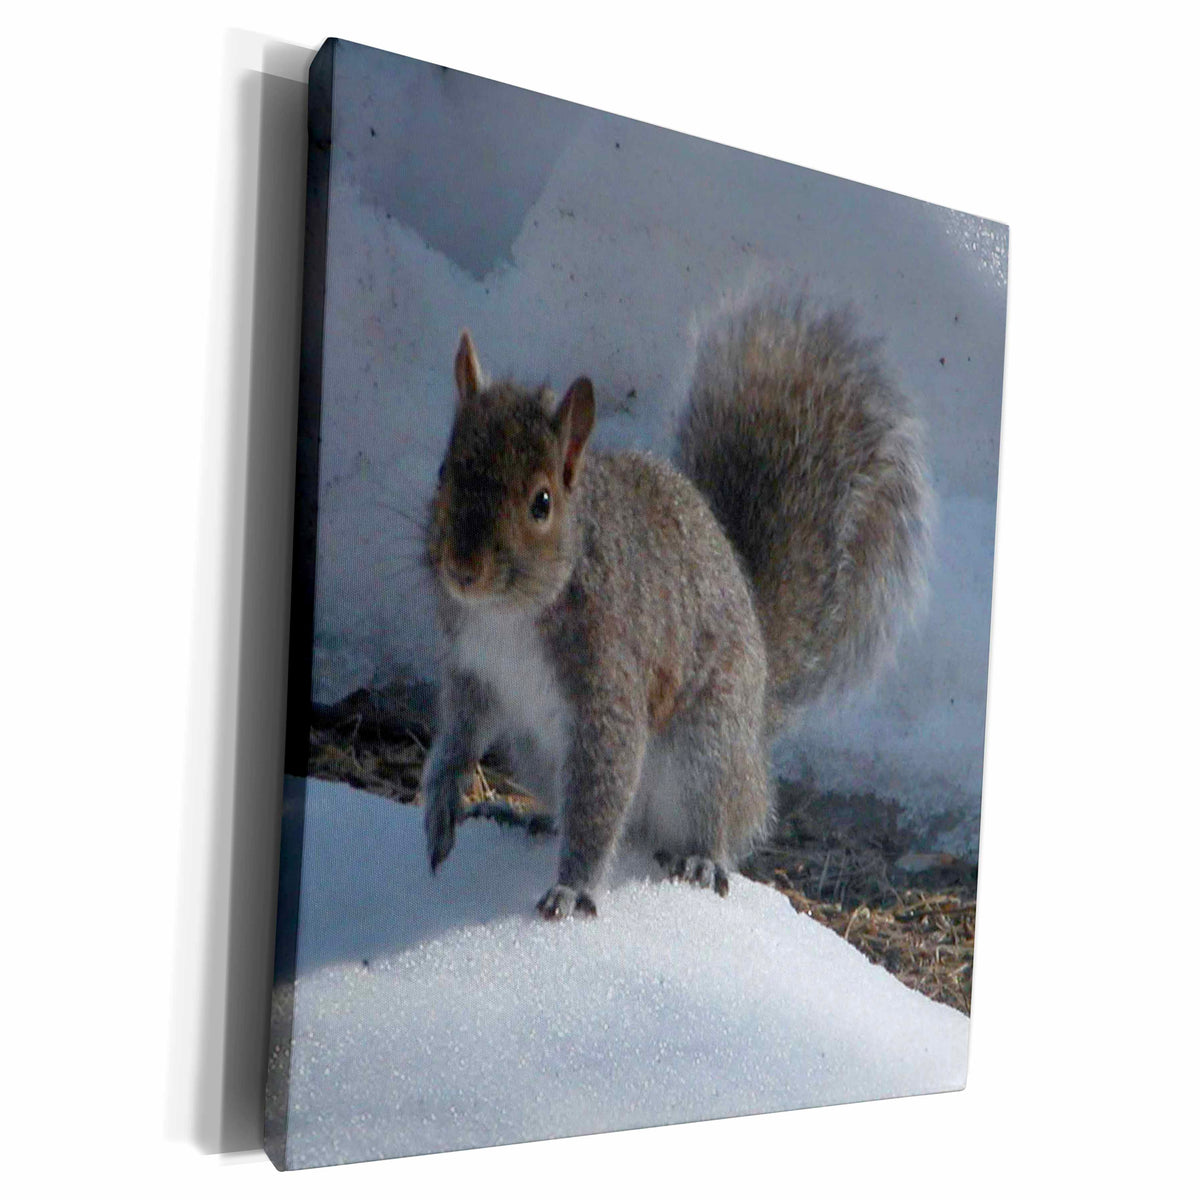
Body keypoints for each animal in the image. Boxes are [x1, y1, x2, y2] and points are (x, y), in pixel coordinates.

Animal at [419, 296, 931, 919]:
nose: (462, 569)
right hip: (537, 749)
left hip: (705, 750)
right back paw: (531, 818)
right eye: (443, 471)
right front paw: (442, 802)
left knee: (714, 823)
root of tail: (758, 718)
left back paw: (701, 859)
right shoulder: (473, 667)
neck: (510, 613)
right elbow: (458, 735)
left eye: (542, 502)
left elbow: (601, 794)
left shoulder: (609, 682)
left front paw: (573, 887)